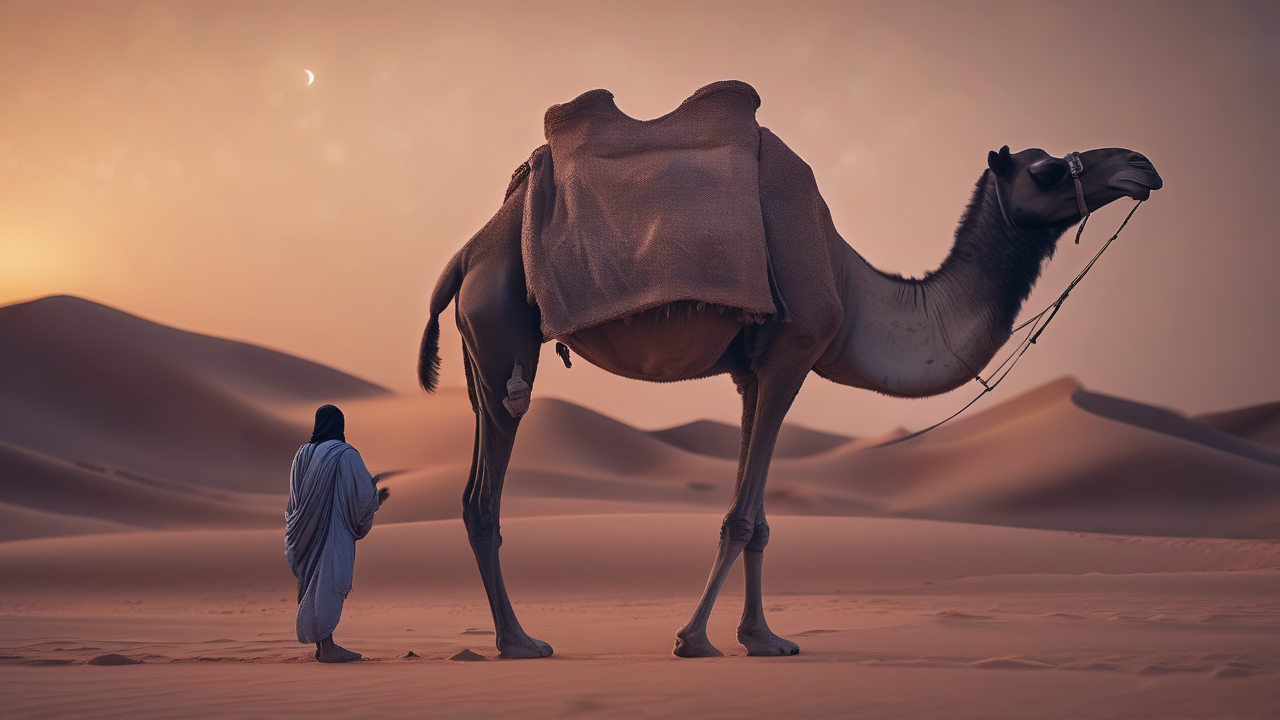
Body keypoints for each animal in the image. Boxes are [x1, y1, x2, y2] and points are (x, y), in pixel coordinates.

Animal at [416, 81, 1162, 659]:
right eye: (1044, 171)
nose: (1141, 164)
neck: (852, 285)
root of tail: (468, 250)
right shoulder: (792, 354)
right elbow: (742, 517)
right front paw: (694, 639)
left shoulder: (753, 371)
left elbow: (762, 519)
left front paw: (763, 639)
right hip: (503, 323)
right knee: (488, 492)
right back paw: (520, 642)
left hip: (482, 353)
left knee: (476, 487)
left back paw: (512, 637)